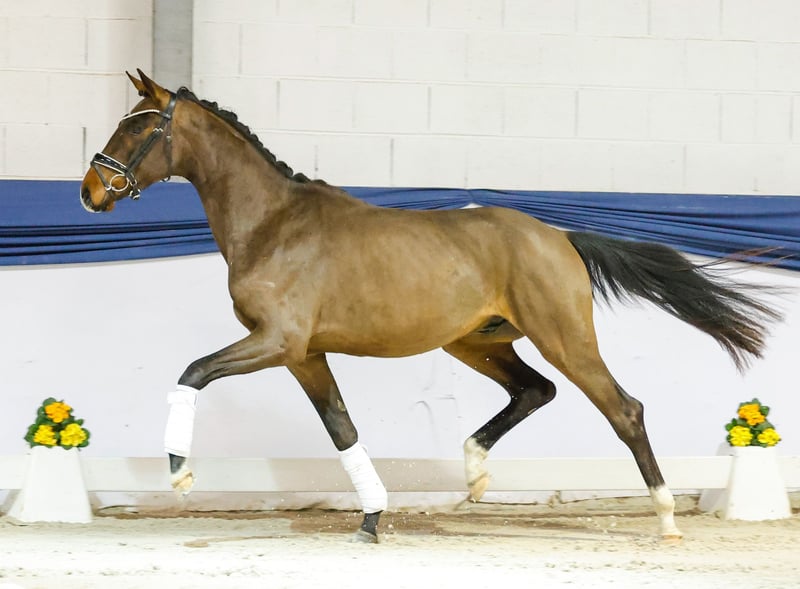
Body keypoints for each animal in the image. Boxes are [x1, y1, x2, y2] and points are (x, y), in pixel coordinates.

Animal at [80, 70, 780, 543]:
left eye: (140, 125)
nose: (90, 191)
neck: (272, 224)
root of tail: (558, 236)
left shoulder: (276, 341)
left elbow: (193, 372)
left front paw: (178, 476)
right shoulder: (303, 355)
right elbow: (342, 429)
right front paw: (371, 519)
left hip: (563, 337)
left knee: (622, 409)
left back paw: (665, 517)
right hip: (477, 342)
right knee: (535, 391)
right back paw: (473, 473)